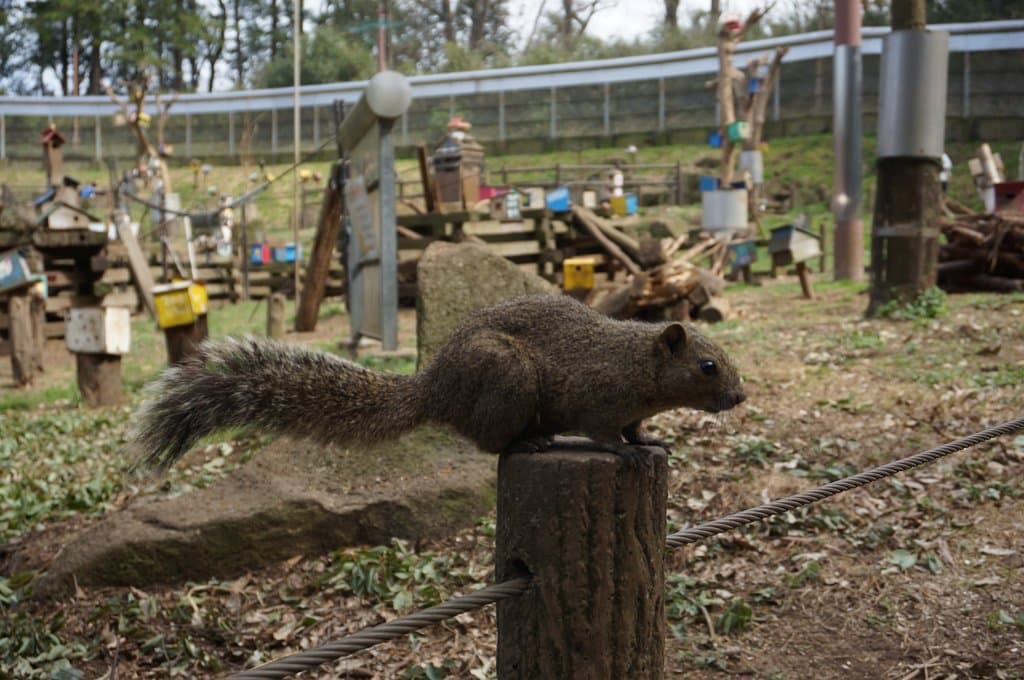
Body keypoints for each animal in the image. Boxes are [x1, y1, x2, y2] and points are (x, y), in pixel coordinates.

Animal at [130, 294, 745, 471]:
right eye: (707, 367)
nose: (740, 396)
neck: (637, 363)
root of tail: (434, 389)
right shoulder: (597, 397)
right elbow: (603, 435)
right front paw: (628, 454)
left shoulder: (632, 407)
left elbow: (637, 427)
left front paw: (652, 440)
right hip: (507, 377)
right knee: (489, 441)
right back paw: (530, 442)